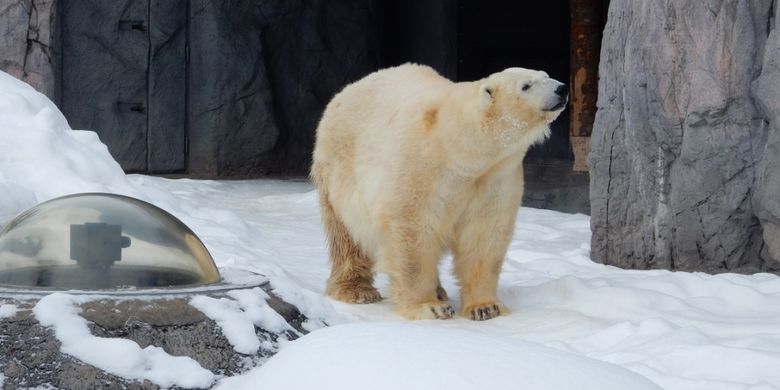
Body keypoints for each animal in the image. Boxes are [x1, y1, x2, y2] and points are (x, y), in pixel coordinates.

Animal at [310, 63, 568, 320]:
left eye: (545, 75)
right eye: (526, 86)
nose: (562, 89)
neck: (461, 150)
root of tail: (346, 91)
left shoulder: (495, 176)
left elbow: (484, 234)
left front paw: (485, 307)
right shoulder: (421, 167)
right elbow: (413, 230)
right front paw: (428, 307)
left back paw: (439, 290)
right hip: (338, 169)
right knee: (347, 236)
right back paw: (356, 290)